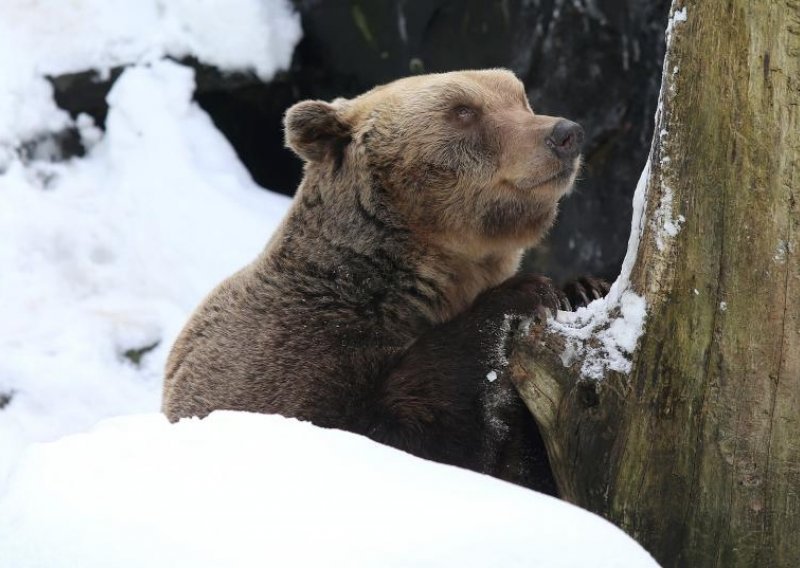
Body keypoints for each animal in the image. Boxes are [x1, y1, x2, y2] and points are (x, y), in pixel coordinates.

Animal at [164, 67, 600, 492]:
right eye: (463, 110)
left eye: (519, 97)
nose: (565, 133)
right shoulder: (293, 354)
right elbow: (397, 427)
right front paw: (524, 292)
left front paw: (582, 290)